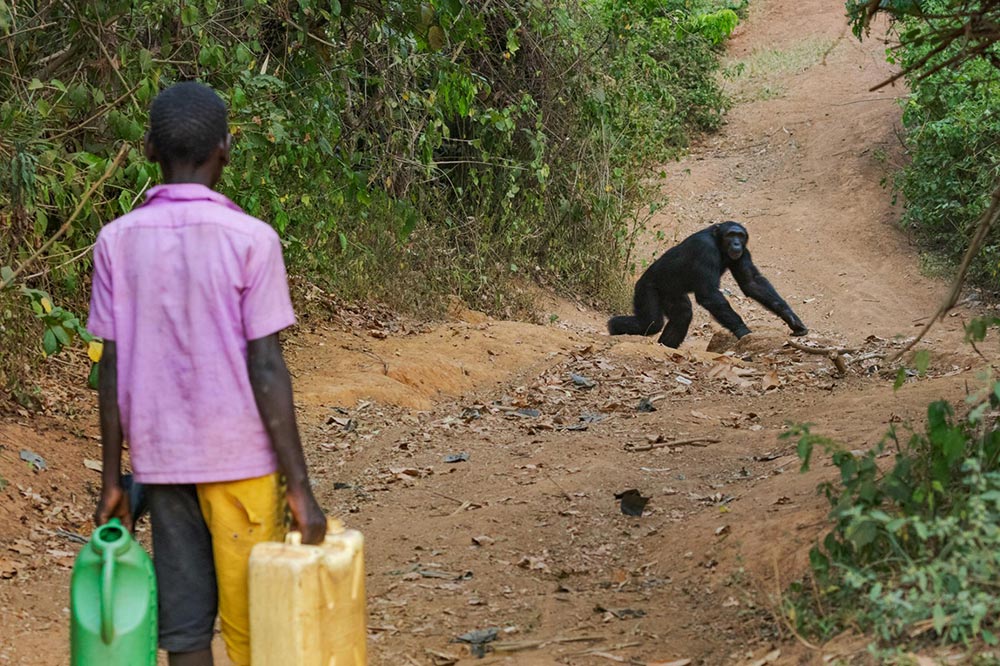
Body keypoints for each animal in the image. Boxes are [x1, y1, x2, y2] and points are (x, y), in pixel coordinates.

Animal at [604, 222, 808, 348]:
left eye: (740, 235)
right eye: (731, 234)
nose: (736, 243)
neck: (719, 244)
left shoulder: (744, 253)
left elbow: (751, 282)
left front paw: (792, 319)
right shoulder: (705, 250)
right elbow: (708, 294)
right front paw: (743, 331)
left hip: (671, 293)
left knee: (682, 314)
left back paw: (665, 346)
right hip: (646, 288)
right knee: (651, 322)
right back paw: (613, 327)